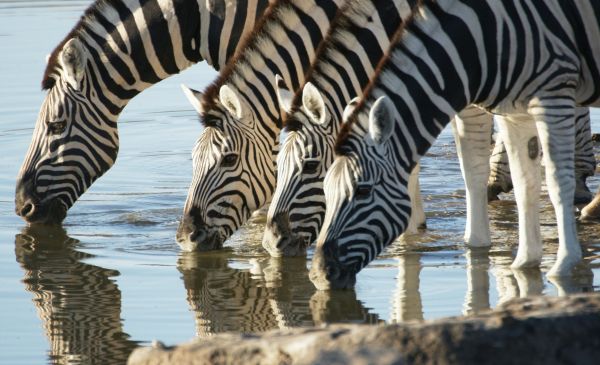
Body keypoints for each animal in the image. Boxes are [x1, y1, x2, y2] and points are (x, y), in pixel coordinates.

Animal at [310, 0, 600, 288]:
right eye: (324, 189)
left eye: (363, 191)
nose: (319, 274)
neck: (481, 37)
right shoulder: (513, 114)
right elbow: (524, 185)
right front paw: (524, 263)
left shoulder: (553, 93)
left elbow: (556, 180)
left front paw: (563, 265)